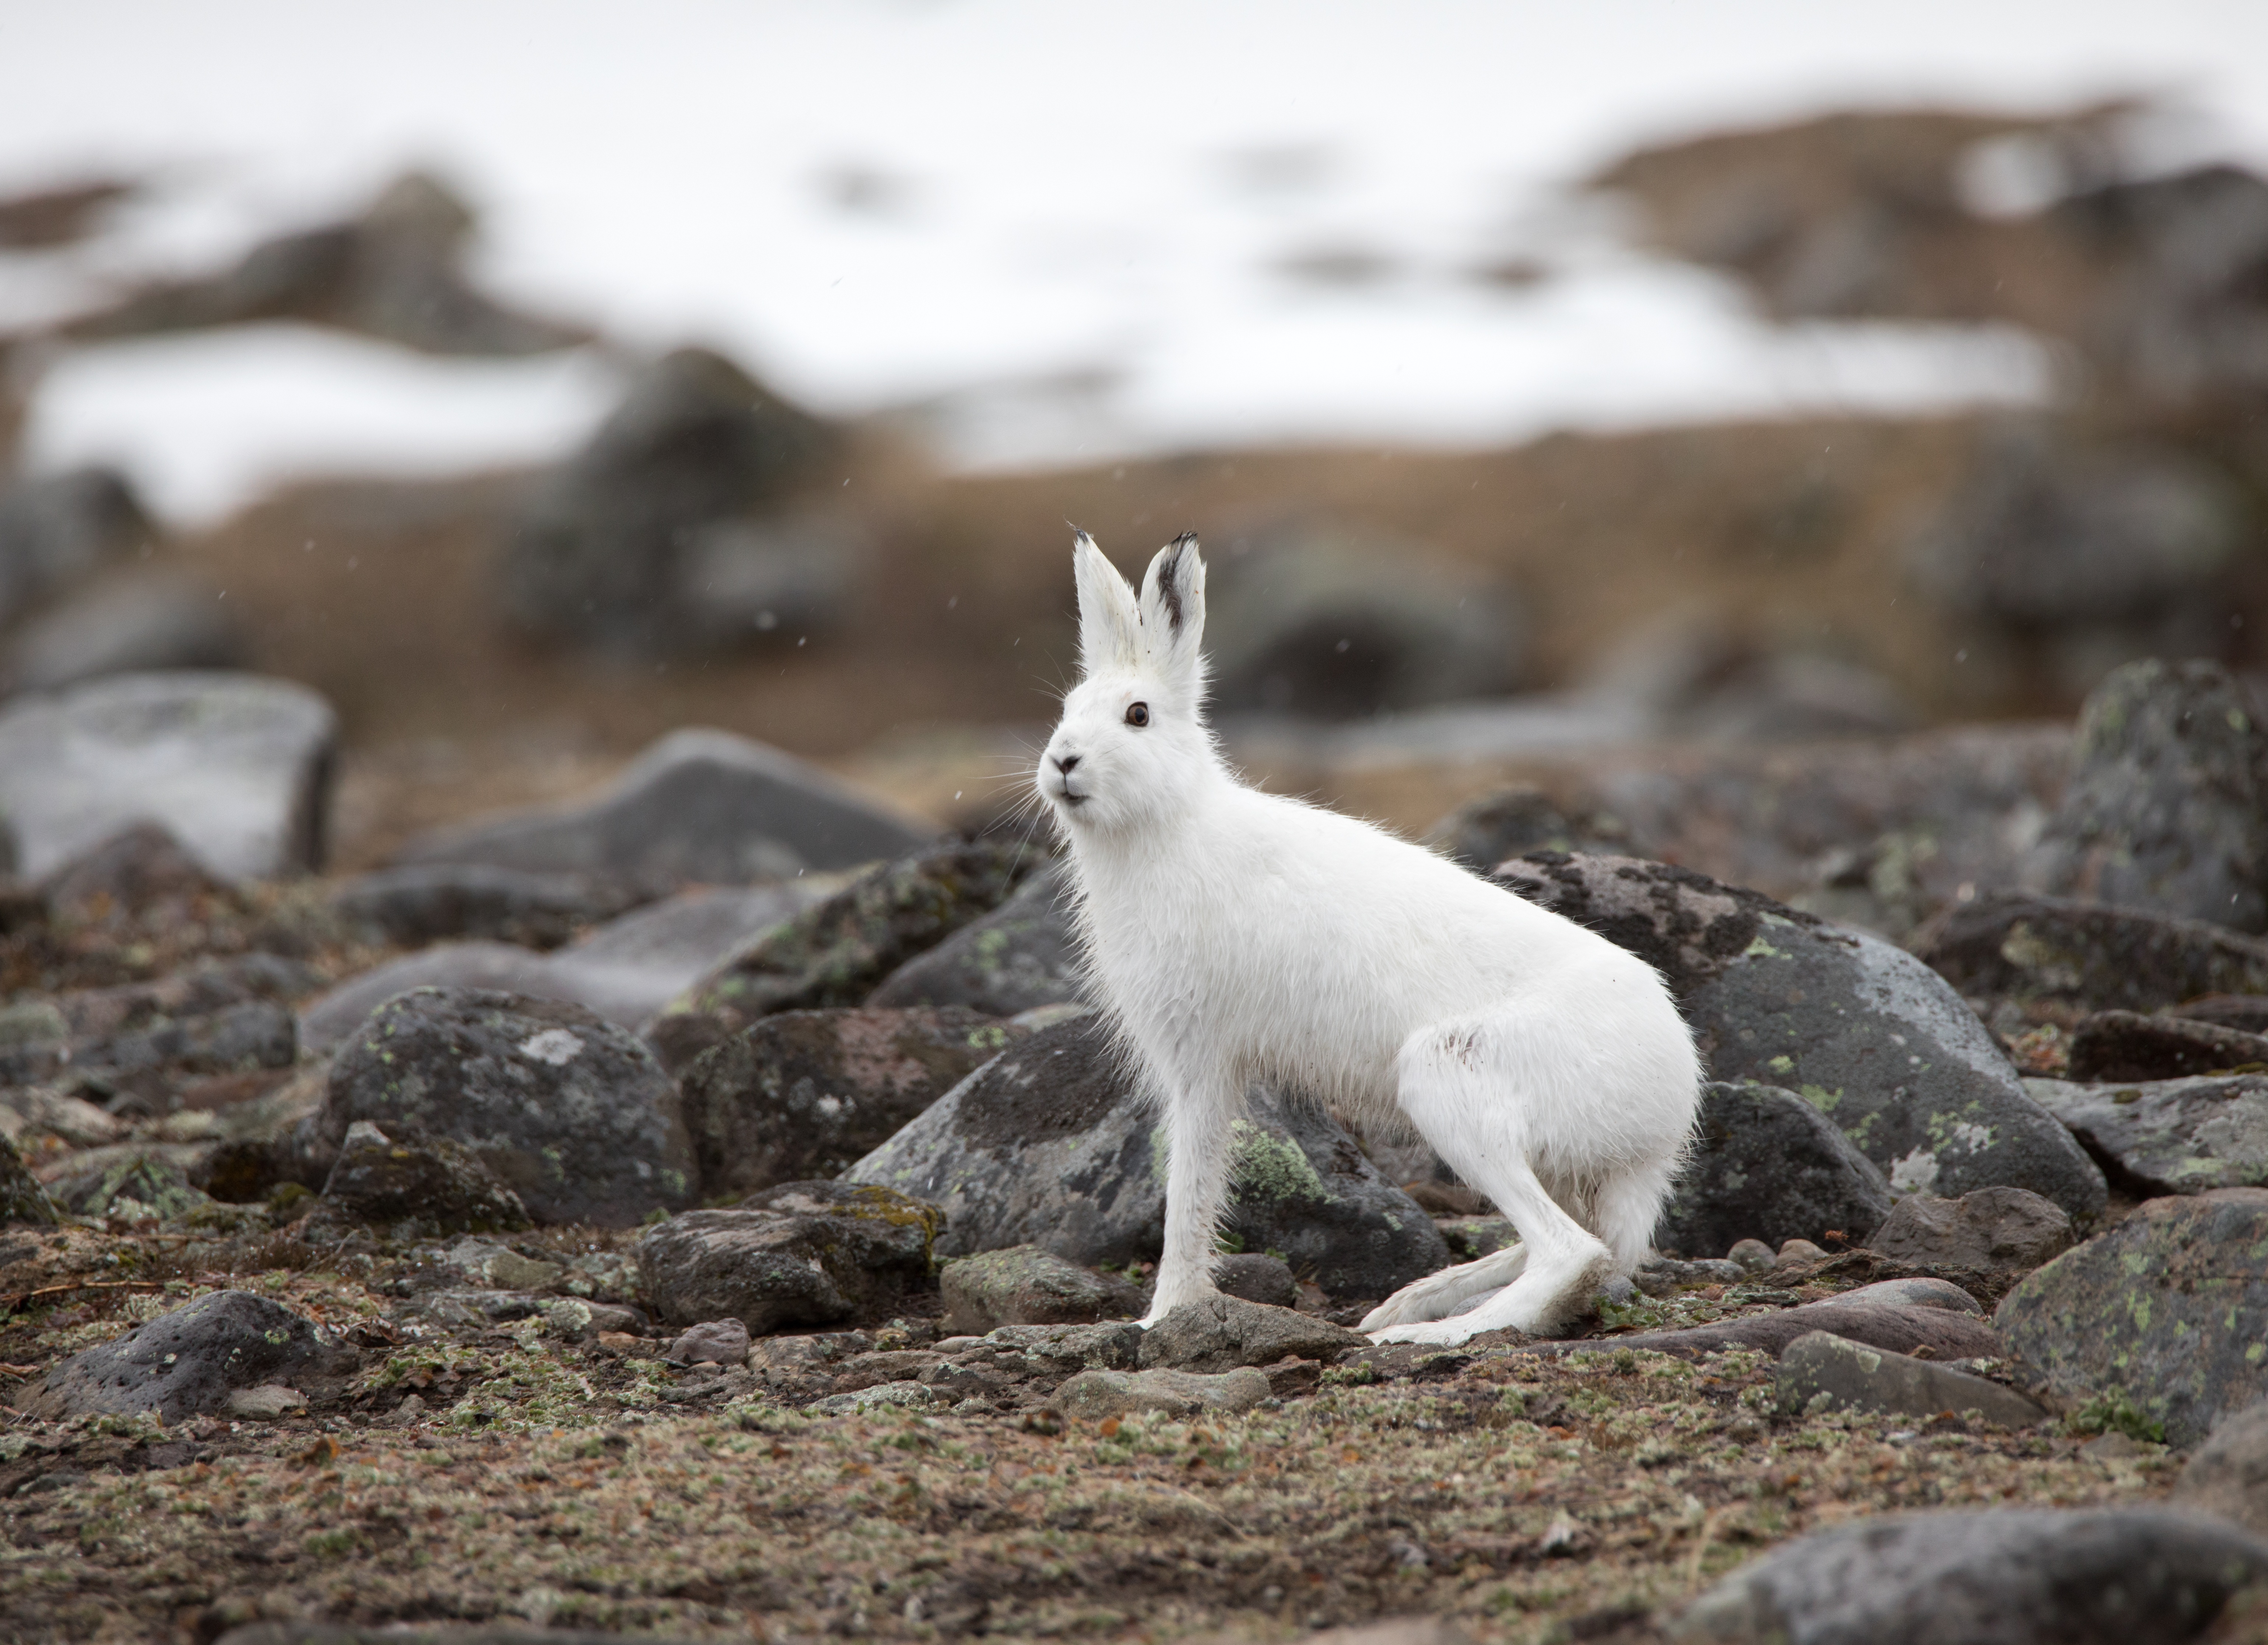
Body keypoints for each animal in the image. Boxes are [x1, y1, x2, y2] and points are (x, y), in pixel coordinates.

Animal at [1034, 531, 1701, 1345]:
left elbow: (1190, 1189)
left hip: (1449, 1076)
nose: (1062, 761)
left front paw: (1163, 1316)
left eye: (1137, 715)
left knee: (1568, 1251)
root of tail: (1666, 1121)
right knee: (1584, 1243)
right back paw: (1413, 1301)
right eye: (1066, 709)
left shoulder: (1201, 1057)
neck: (1170, 822)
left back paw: (1421, 1333)